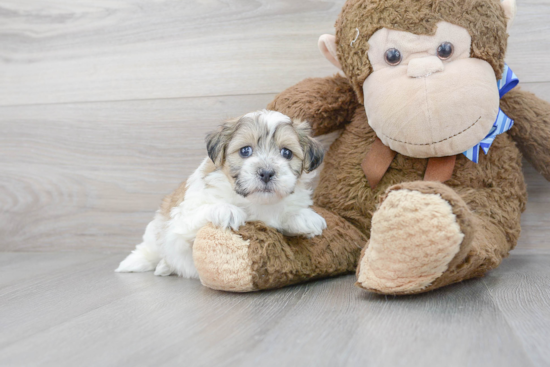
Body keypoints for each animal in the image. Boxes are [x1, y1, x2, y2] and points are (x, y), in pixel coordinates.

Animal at [114, 109, 326, 278]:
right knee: (151, 249)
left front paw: (304, 217)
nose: (266, 172)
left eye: (286, 153)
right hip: (154, 231)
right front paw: (227, 210)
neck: (255, 203)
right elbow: (198, 215)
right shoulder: (182, 220)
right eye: (245, 150)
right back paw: (144, 263)